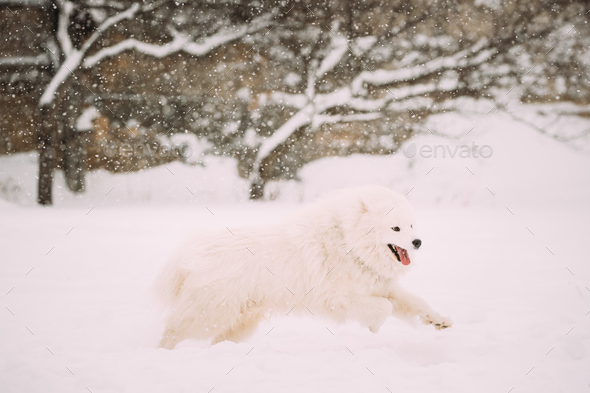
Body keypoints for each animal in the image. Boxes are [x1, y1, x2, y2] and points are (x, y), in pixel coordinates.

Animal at [154, 185, 454, 348]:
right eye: (396, 228)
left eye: (412, 225)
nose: (417, 242)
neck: (349, 241)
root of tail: (188, 254)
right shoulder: (341, 299)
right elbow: (385, 308)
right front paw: (374, 327)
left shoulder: (381, 286)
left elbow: (415, 303)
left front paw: (440, 321)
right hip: (209, 314)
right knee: (173, 330)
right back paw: (163, 352)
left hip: (239, 322)